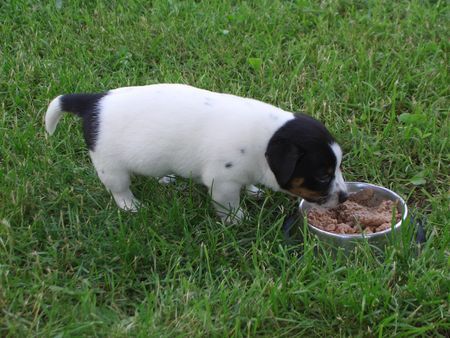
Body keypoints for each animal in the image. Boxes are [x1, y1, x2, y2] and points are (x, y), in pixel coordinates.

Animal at [44, 84, 348, 222]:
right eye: (323, 175)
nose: (345, 197)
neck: (265, 141)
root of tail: (92, 102)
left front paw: (253, 191)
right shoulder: (223, 182)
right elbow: (229, 205)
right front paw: (238, 220)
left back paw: (165, 180)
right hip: (111, 167)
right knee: (119, 190)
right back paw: (131, 206)